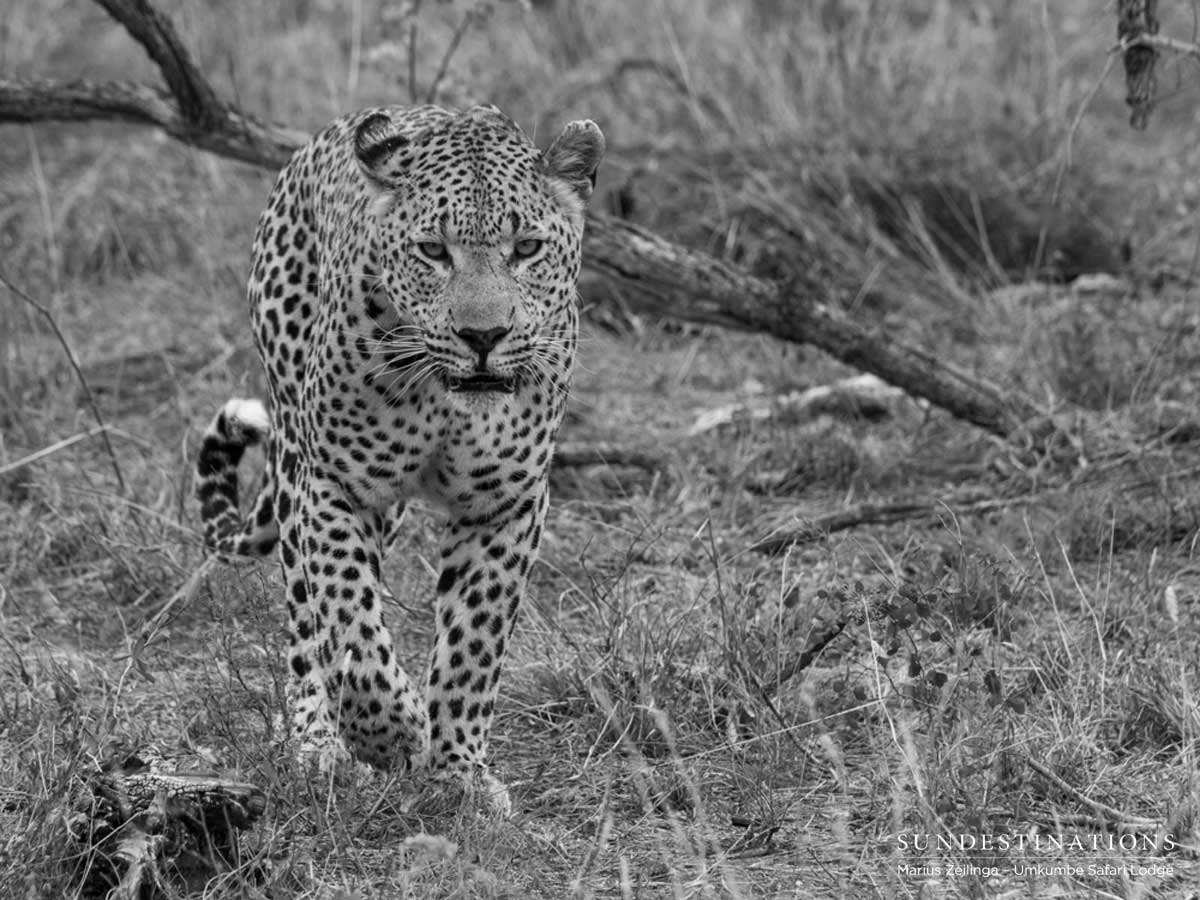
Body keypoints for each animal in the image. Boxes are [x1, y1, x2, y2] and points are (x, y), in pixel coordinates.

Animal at [194, 103, 603, 808]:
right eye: (433, 251)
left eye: (526, 248)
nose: (484, 336)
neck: (446, 400)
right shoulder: (335, 486)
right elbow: (348, 624)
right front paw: (395, 733)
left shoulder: (507, 504)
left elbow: (474, 641)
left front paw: (459, 771)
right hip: (298, 458)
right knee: (305, 623)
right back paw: (318, 742)